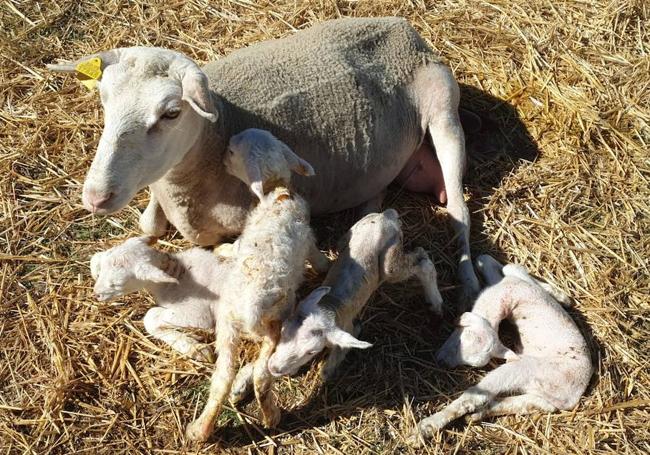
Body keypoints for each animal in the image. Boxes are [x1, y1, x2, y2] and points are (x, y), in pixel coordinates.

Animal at [45, 16, 478, 306]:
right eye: (104, 99)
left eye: (171, 113)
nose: (96, 197)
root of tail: (405, 28)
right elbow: (147, 224)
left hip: (443, 106)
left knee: (459, 210)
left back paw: (469, 280)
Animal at [266, 210, 442, 382]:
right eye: (282, 330)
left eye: (311, 351)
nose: (273, 368)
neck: (328, 306)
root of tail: (387, 216)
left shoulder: (349, 328)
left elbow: (329, 368)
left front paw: (324, 371)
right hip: (349, 235)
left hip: (391, 263)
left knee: (422, 261)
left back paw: (435, 302)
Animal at [410, 255, 592, 448]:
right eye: (463, 336)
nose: (441, 361)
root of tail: (575, 393)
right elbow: (499, 264)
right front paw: (563, 297)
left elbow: (509, 266)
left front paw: (561, 295)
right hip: (546, 395)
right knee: (531, 404)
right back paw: (478, 415)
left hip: (529, 369)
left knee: (474, 397)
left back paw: (424, 429)